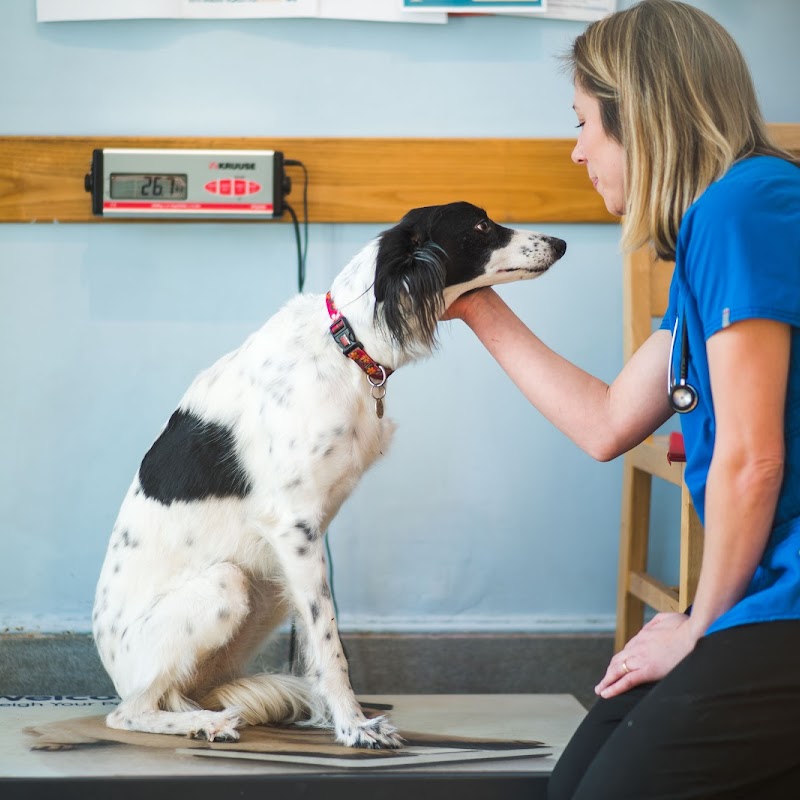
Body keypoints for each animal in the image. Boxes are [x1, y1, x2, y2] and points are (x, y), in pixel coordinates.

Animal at [94, 202, 564, 752]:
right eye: (481, 226)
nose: (561, 244)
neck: (345, 343)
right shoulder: (295, 528)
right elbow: (330, 643)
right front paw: (353, 725)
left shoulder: (304, 545)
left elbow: (317, 648)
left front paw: (337, 718)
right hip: (226, 585)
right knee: (128, 713)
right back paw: (201, 723)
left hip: (265, 593)